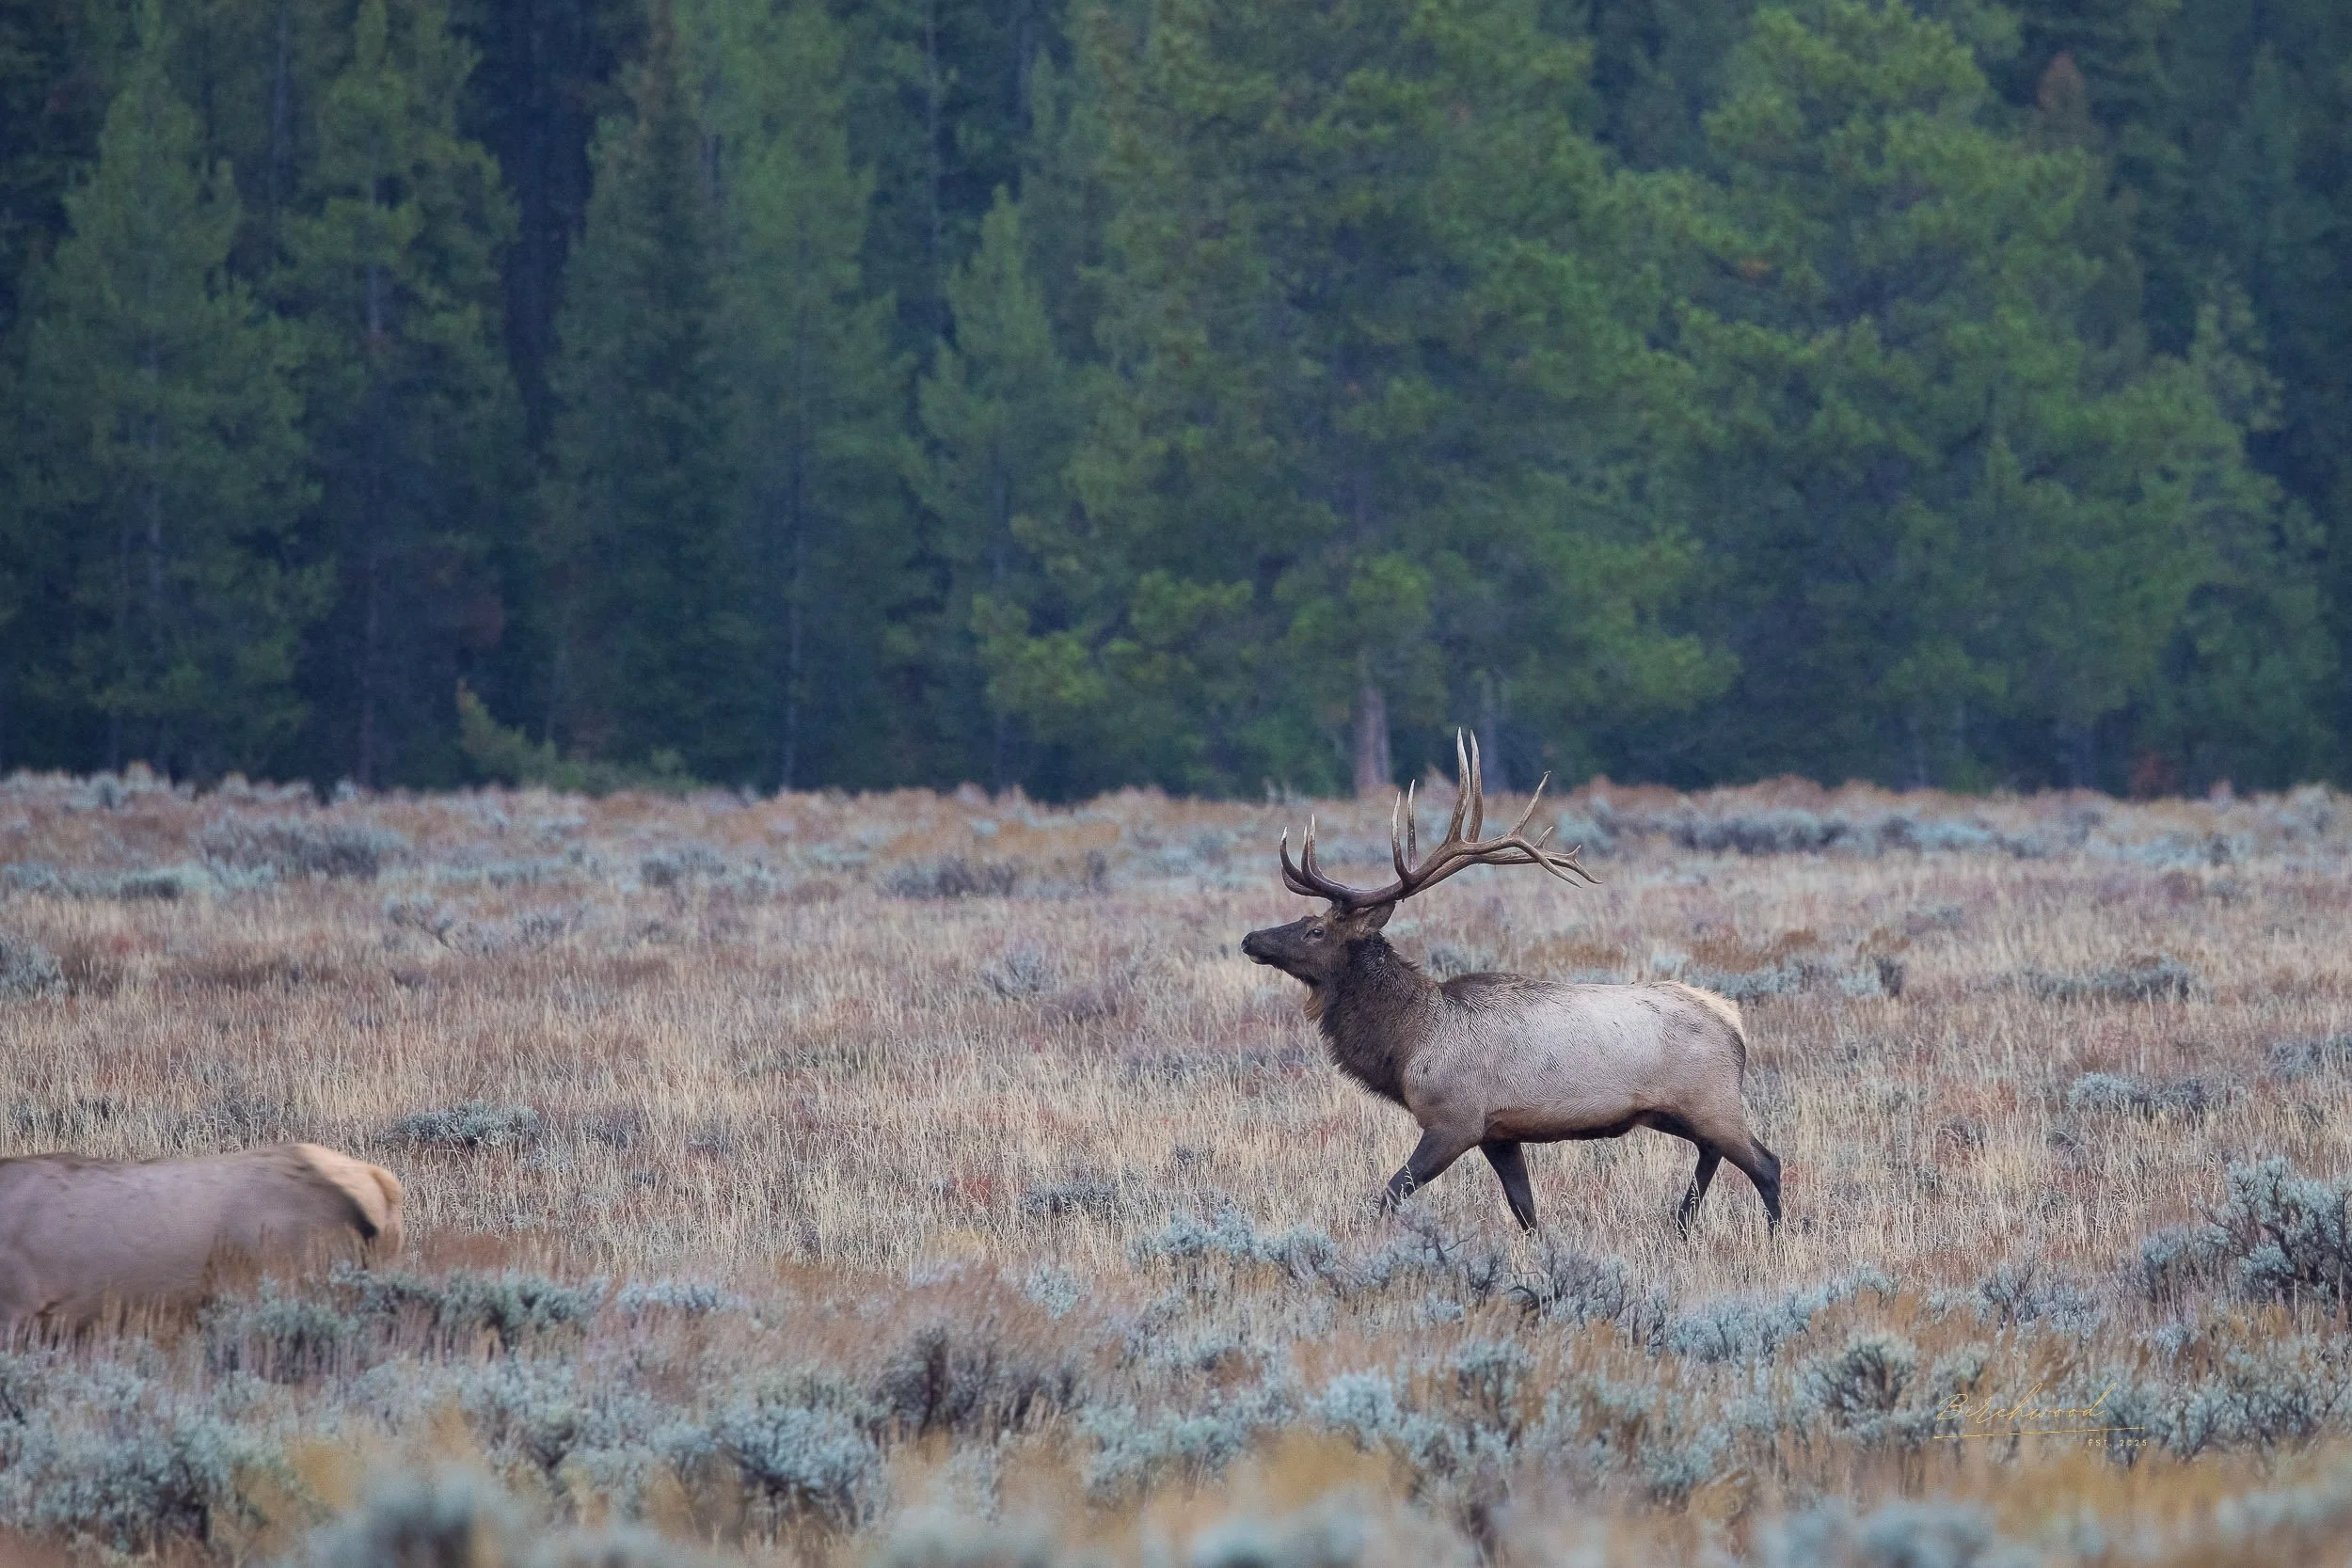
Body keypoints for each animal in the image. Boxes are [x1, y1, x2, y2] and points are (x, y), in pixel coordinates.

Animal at [1240, 733, 1781, 1237]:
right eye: (1304, 920)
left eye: (1316, 930)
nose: (1250, 938)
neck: (1408, 1041)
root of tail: (1733, 1020)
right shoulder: (1498, 1133)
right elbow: (1525, 1208)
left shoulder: (1454, 1119)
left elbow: (1391, 1192)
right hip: (1677, 1110)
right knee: (1713, 1154)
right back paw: (1682, 1222)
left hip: (1711, 1099)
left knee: (1766, 1163)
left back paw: (1774, 1235)